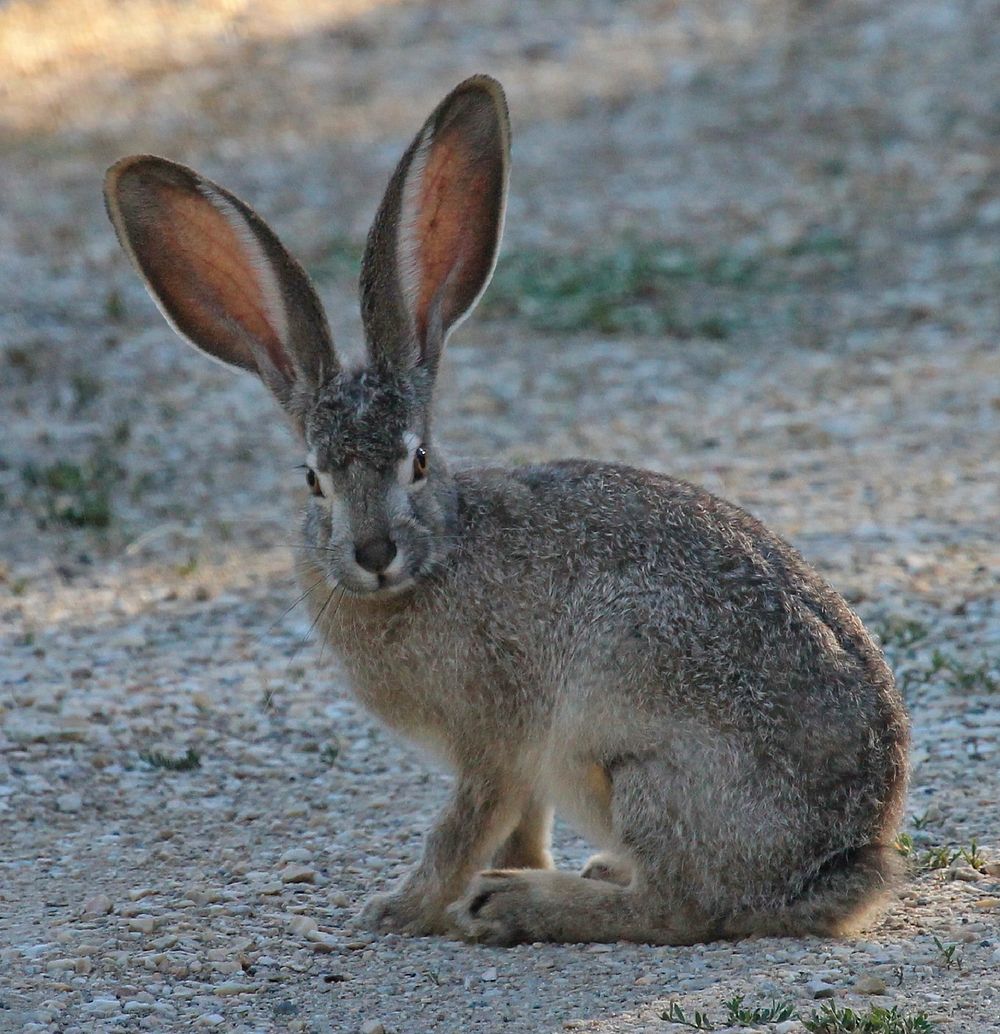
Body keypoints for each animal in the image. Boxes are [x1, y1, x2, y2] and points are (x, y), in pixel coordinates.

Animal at [105, 74, 910, 947]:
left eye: (418, 461)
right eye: (313, 478)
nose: (374, 552)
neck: (440, 553)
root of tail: (847, 861)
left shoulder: (495, 735)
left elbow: (463, 825)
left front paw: (402, 909)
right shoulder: (518, 761)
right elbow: (518, 825)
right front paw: (494, 877)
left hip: (643, 769)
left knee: (683, 905)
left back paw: (520, 905)